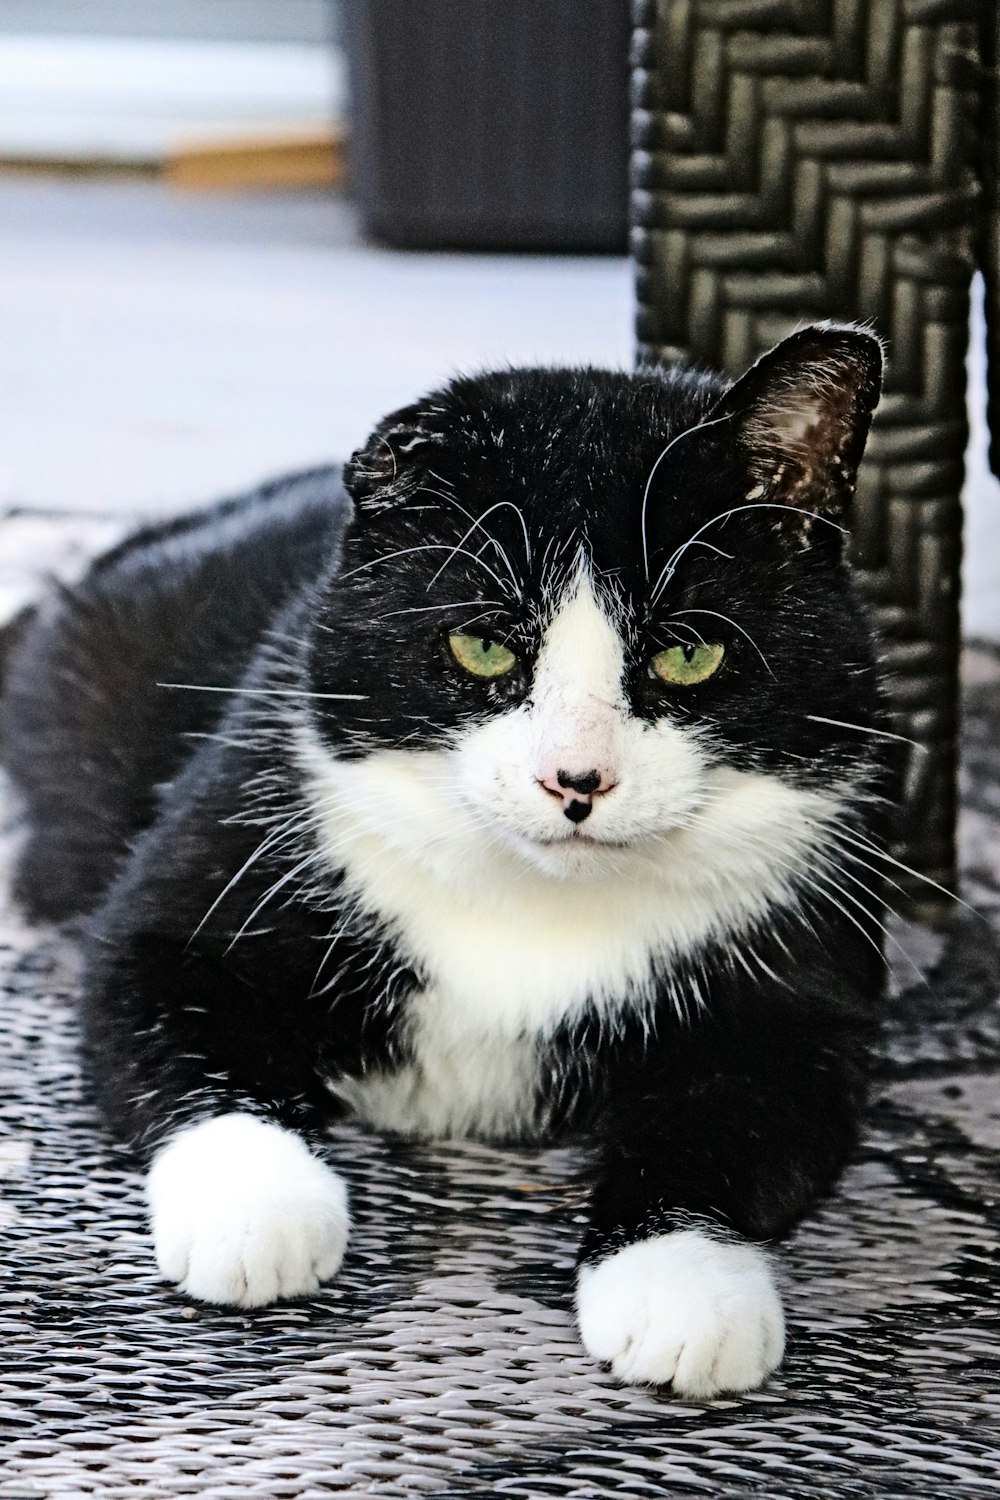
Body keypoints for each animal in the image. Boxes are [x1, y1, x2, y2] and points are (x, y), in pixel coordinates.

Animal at [1, 322, 893, 1398]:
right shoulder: (208, 866)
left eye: (690, 655)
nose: (575, 779)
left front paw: (684, 1289)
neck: (534, 909)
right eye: (481, 647)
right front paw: (260, 1212)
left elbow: (736, 1123)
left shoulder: (809, 980)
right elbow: (168, 1017)